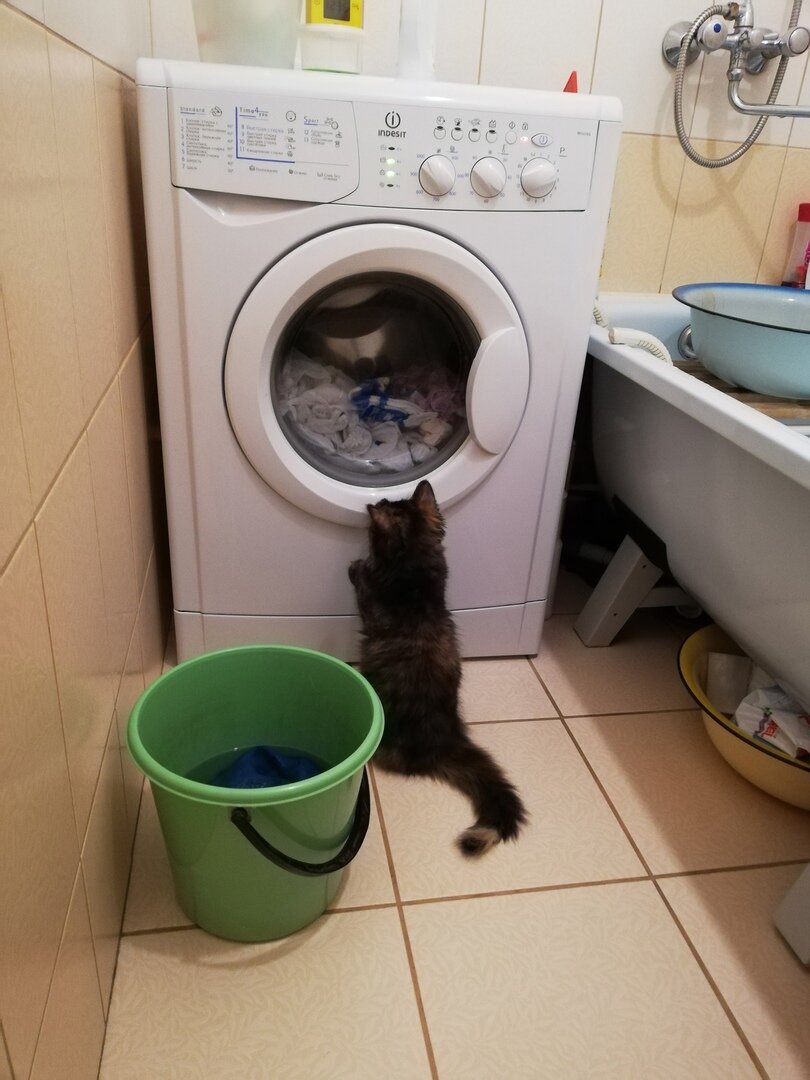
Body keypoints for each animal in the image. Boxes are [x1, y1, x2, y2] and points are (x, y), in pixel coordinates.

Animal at [348, 479, 527, 856]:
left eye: (371, 531)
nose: (377, 501)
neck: (413, 574)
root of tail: (445, 742)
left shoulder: (370, 604)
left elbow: (361, 582)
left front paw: (357, 565)